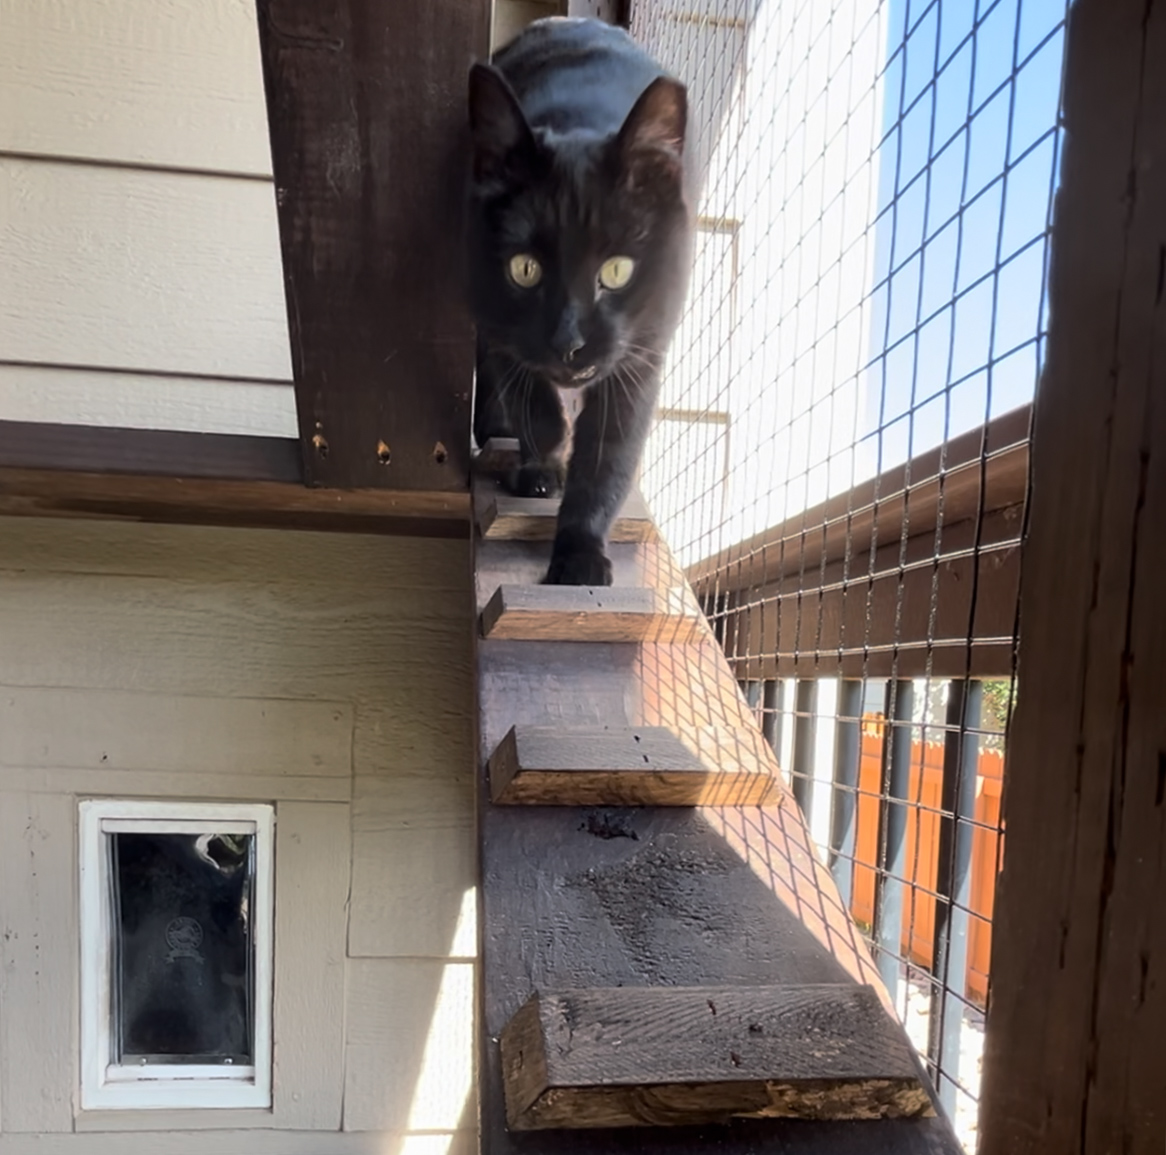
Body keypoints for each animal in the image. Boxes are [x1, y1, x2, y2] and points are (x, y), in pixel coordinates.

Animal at [468, 20, 694, 587]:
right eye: (525, 269)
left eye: (616, 271)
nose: (568, 343)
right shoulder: (497, 321)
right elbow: (534, 404)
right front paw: (543, 463)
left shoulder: (641, 358)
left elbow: (607, 459)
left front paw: (579, 554)